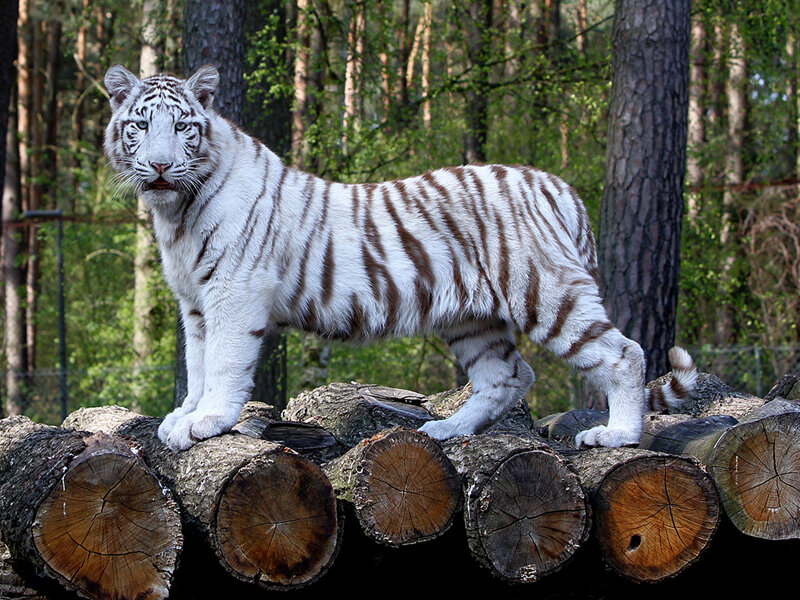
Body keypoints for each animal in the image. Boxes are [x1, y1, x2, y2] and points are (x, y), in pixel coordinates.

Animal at [103, 64, 697, 452]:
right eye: (140, 126)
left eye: (182, 127)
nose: (160, 166)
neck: (176, 212)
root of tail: (560, 186)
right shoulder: (195, 303)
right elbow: (197, 363)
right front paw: (184, 415)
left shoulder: (233, 291)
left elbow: (224, 364)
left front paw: (207, 422)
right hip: (472, 318)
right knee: (510, 374)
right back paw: (447, 430)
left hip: (545, 292)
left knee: (624, 353)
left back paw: (618, 435)